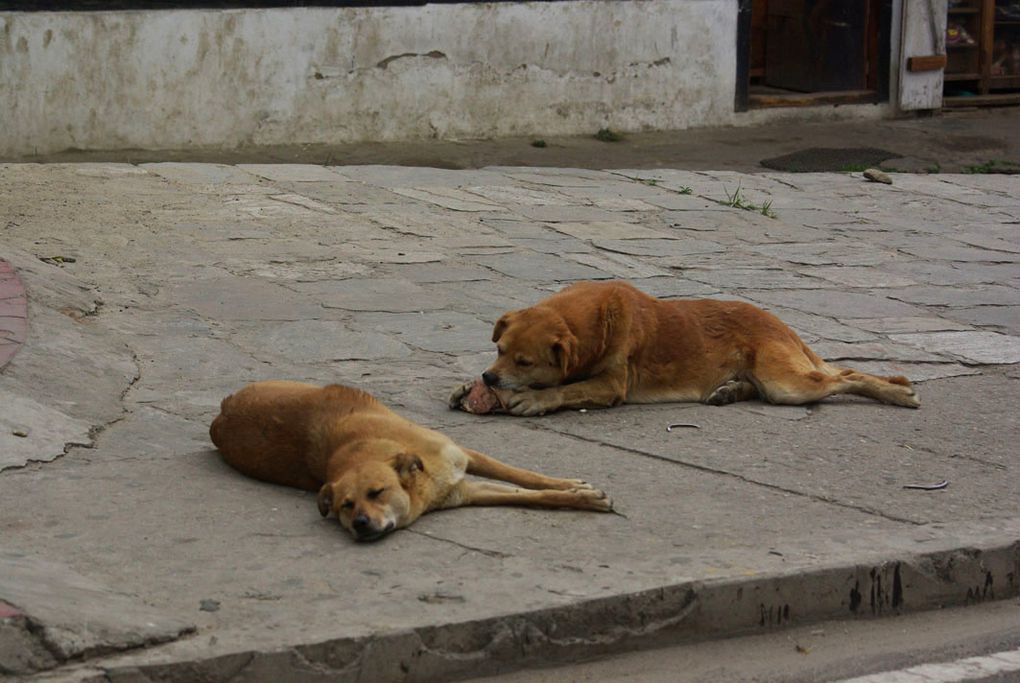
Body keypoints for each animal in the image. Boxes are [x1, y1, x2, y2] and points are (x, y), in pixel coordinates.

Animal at [210, 383, 607, 542]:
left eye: (377, 492)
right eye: (345, 507)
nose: (360, 526)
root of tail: (221, 413)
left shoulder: (464, 455)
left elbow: (525, 476)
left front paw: (574, 488)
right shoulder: (469, 491)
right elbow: (530, 495)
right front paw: (580, 496)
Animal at [450, 279, 922, 417]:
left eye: (524, 361)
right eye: (498, 349)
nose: (490, 377)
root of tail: (780, 323)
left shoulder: (611, 386)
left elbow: (569, 388)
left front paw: (536, 399)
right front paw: (466, 386)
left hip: (786, 380)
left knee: (843, 377)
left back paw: (897, 392)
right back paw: (730, 391)